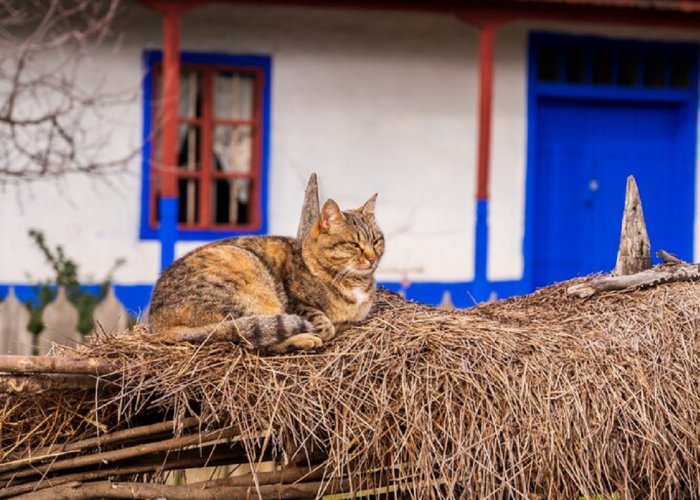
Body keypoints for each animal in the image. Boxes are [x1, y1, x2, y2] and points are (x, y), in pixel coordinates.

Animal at [148, 193, 386, 354]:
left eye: (376, 241)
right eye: (354, 245)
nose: (372, 258)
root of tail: (155, 323)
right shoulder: (295, 305)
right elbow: (323, 322)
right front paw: (328, 328)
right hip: (249, 288)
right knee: (253, 339)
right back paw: (305, 339)